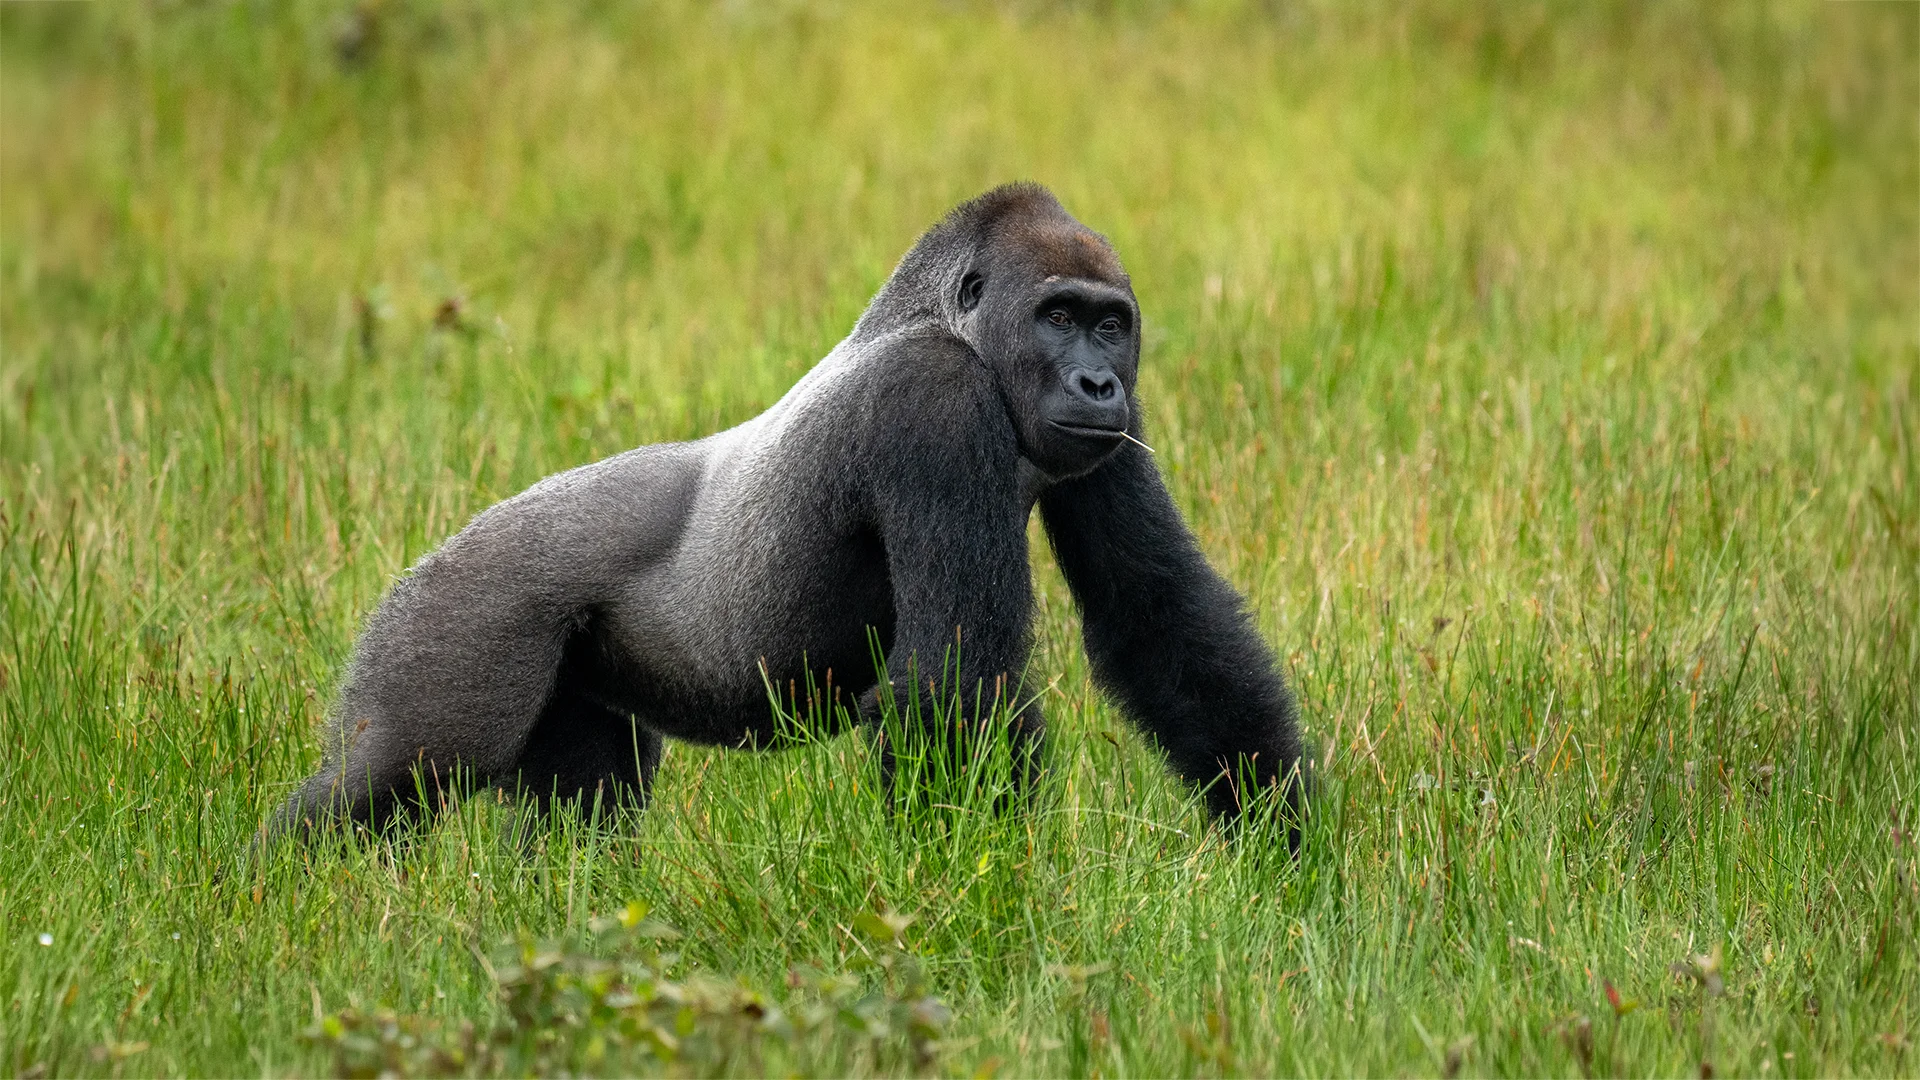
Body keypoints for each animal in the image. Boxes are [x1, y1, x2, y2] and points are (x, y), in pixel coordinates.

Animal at [270, 183, 1307, 846]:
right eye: (1057, 316)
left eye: (1110, 324)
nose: (1097, 382)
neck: (945, 320)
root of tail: (428, 562)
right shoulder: (932, 400)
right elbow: (955, 680)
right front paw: (979, 890)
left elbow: (1157, 617)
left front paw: (1286, 846)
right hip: (462, 614)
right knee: (397, 779)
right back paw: (278, 884)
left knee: (583, 813)